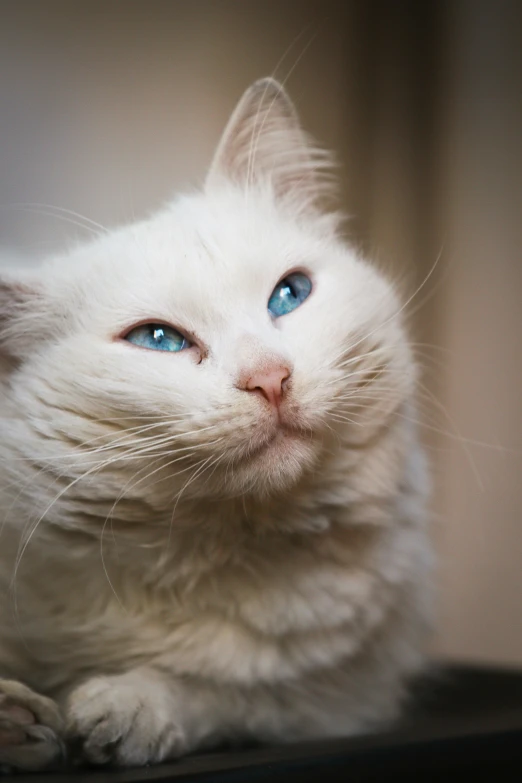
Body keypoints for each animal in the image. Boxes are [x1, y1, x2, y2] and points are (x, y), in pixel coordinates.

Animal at [0, 79, 430, 772]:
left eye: (290, 294)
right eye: (158, 340)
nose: (271, 378)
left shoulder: (340, 693)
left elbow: (227, 692)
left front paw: (130, 704)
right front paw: (18, 718)